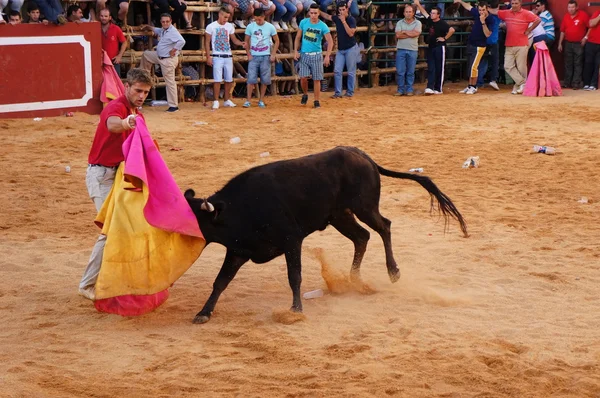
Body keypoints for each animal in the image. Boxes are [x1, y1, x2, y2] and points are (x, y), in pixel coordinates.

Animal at [185, 146, 466, 324]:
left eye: (194, 220)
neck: (240, 208)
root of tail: (362, 155)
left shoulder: (292, 240)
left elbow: (294, 276)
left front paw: (296, 309)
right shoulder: (238, 250)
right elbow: (221, 281)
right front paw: (204, 313)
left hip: (364, 207)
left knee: (384, 227)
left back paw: (393, 271)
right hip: (340, 216)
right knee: (362, 237)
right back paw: (355, 279)